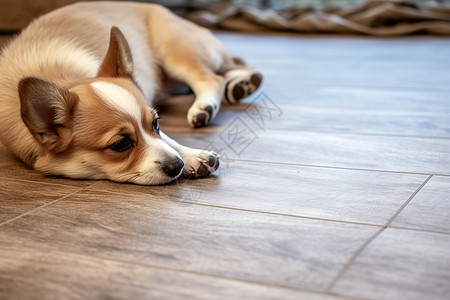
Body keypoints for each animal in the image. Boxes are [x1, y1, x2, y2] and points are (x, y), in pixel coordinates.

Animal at [0, 1, 262, 185]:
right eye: (121, 144)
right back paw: (241, 85)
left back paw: (207, 106)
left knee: (212, 77)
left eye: (156, 124)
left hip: (178, 52)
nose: (177, 165)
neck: (65, 78)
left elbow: (168, 140)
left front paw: (192, 156)